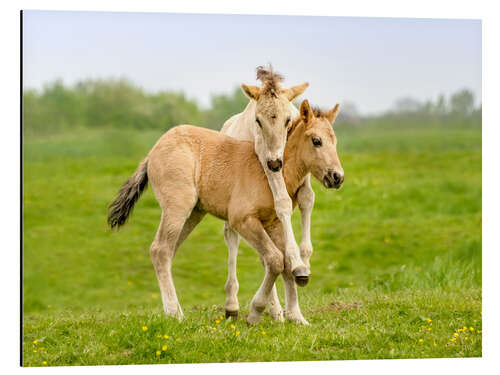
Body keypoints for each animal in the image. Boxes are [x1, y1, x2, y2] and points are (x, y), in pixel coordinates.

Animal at [108, 100, 344, 326]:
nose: (337, 177)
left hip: (193, 213)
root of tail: (152, 152)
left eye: (335, 141)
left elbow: (286, 263)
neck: (271, 172)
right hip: (177, 207)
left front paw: (296, 317)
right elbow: (275, 259)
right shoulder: (242, 220)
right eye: (316, 141)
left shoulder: (274, 223)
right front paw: (255, 313)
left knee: (167, 251)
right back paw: (175, 313)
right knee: (161, 250)